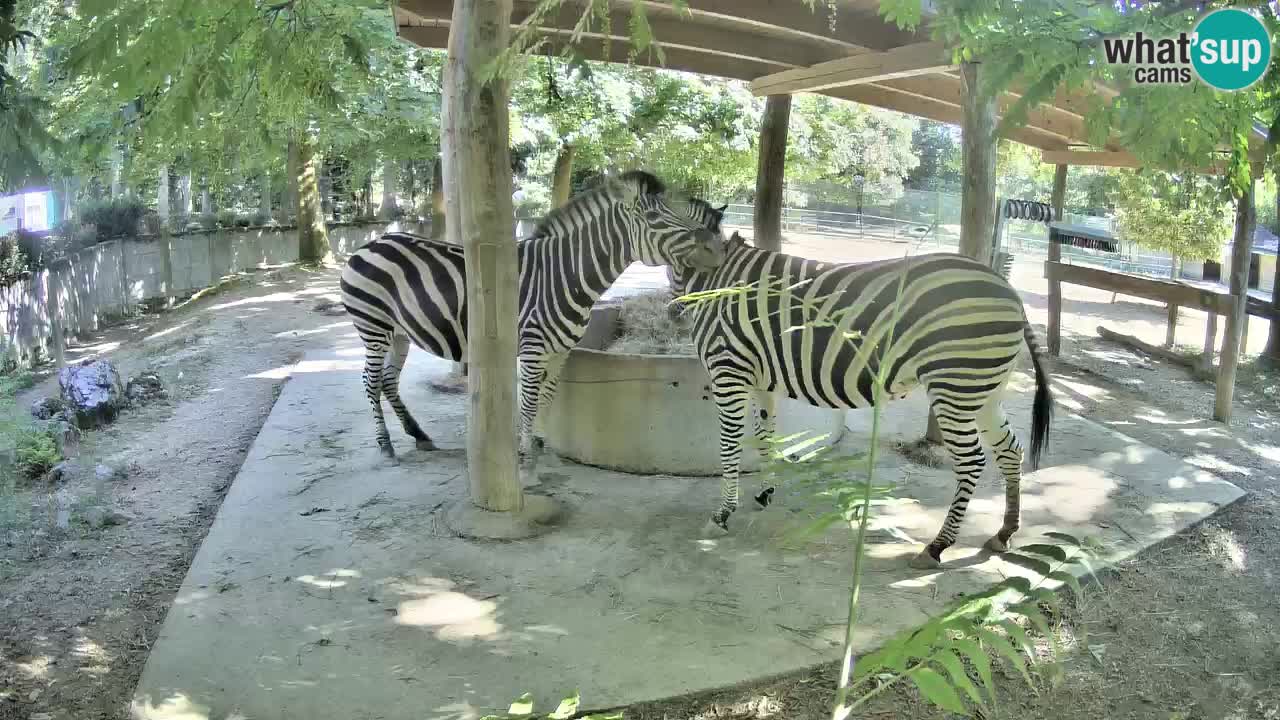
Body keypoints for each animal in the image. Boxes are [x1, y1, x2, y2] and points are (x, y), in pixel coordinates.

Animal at [339, 170, 727, 476]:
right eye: (657, 218)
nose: (716, 251)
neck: (565, 274)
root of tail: (369, 244)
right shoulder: (532, 348)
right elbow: (527, 400)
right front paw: (525, 460)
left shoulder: (560, 351)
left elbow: (546, 397)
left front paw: (539, 446)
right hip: (373, 327)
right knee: (371, 381)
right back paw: (386, 446)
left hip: (399, 333)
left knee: (388, 381)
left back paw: (419, 436)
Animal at [667, 230, 1053, 569]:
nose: (673, 312)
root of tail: (1012, 294)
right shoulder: (760, 378)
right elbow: (765, 436)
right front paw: (764, 494)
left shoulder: (728, 370)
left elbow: (730, 443)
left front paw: (722, 514)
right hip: (983, 389)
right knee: (1010, 450)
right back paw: (1004, 532)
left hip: (955, 384)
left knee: (973, 461)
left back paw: (936, 547)